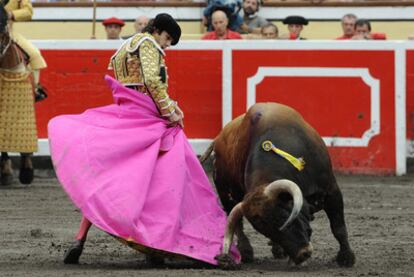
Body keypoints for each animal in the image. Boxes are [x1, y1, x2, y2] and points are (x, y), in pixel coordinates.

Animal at [201, 102, 356, 268]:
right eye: (265, 231)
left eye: (283, 216)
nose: (302, 254)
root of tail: (218, 139)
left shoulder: (332, 190)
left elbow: (338, 227)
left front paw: (346, 258)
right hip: (225, 194)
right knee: (237, 225)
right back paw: (248, 253)